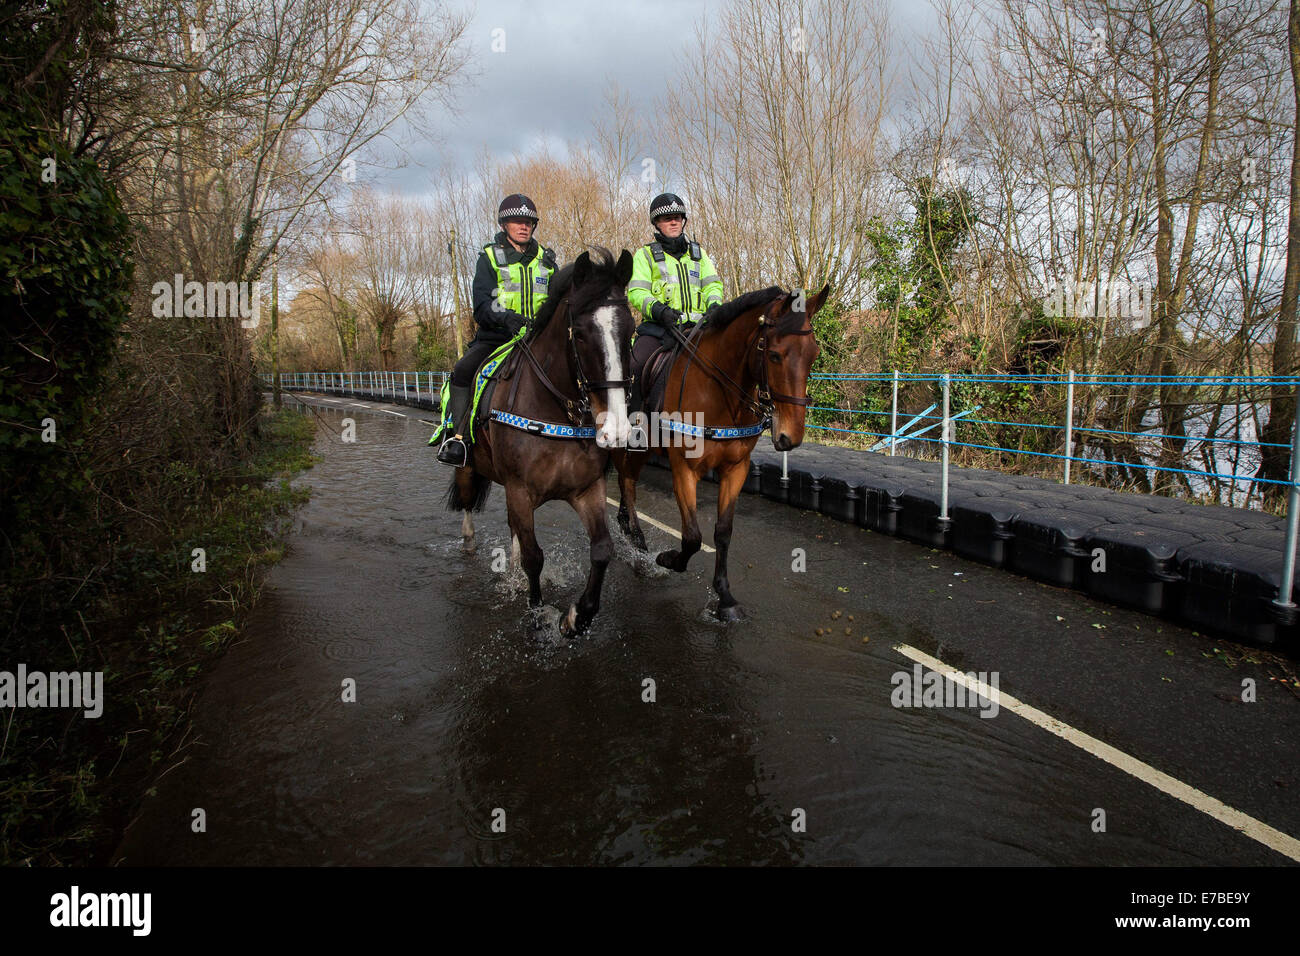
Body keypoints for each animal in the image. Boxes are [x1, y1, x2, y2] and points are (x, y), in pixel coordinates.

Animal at [444, 248, 637, 634]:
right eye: (580, 334)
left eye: (631, 331)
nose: (617, 429)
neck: (556, 412)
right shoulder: (520, 490)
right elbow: (535, 557)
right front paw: (537, 612)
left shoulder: (587, 489)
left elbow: (602, 549)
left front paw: (578, 616)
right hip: (469, 468)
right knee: (469, 503)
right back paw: (470, 543)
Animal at [605, 283, 821, 624]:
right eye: (774, 355)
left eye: (814, 354)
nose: (791, 436)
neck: (718, 392)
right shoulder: (684, 468)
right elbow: (693, 537)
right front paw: (668, 559)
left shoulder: (736, 468)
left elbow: (723, 532)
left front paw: (724, 597)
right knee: (626, 481)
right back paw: (637, 539)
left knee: (627, 480)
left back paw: (628, 527)